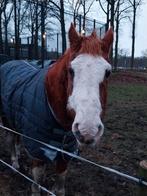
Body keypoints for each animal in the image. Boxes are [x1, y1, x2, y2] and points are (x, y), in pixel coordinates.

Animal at [0, 23, 113, 195]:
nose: (88, 130)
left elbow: (60, 185)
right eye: (71, 70)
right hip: (6, 120)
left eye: (108, 73)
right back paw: (14, 163)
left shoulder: (65, 153)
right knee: (10, 139)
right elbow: (36, 183)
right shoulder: (38, 150)